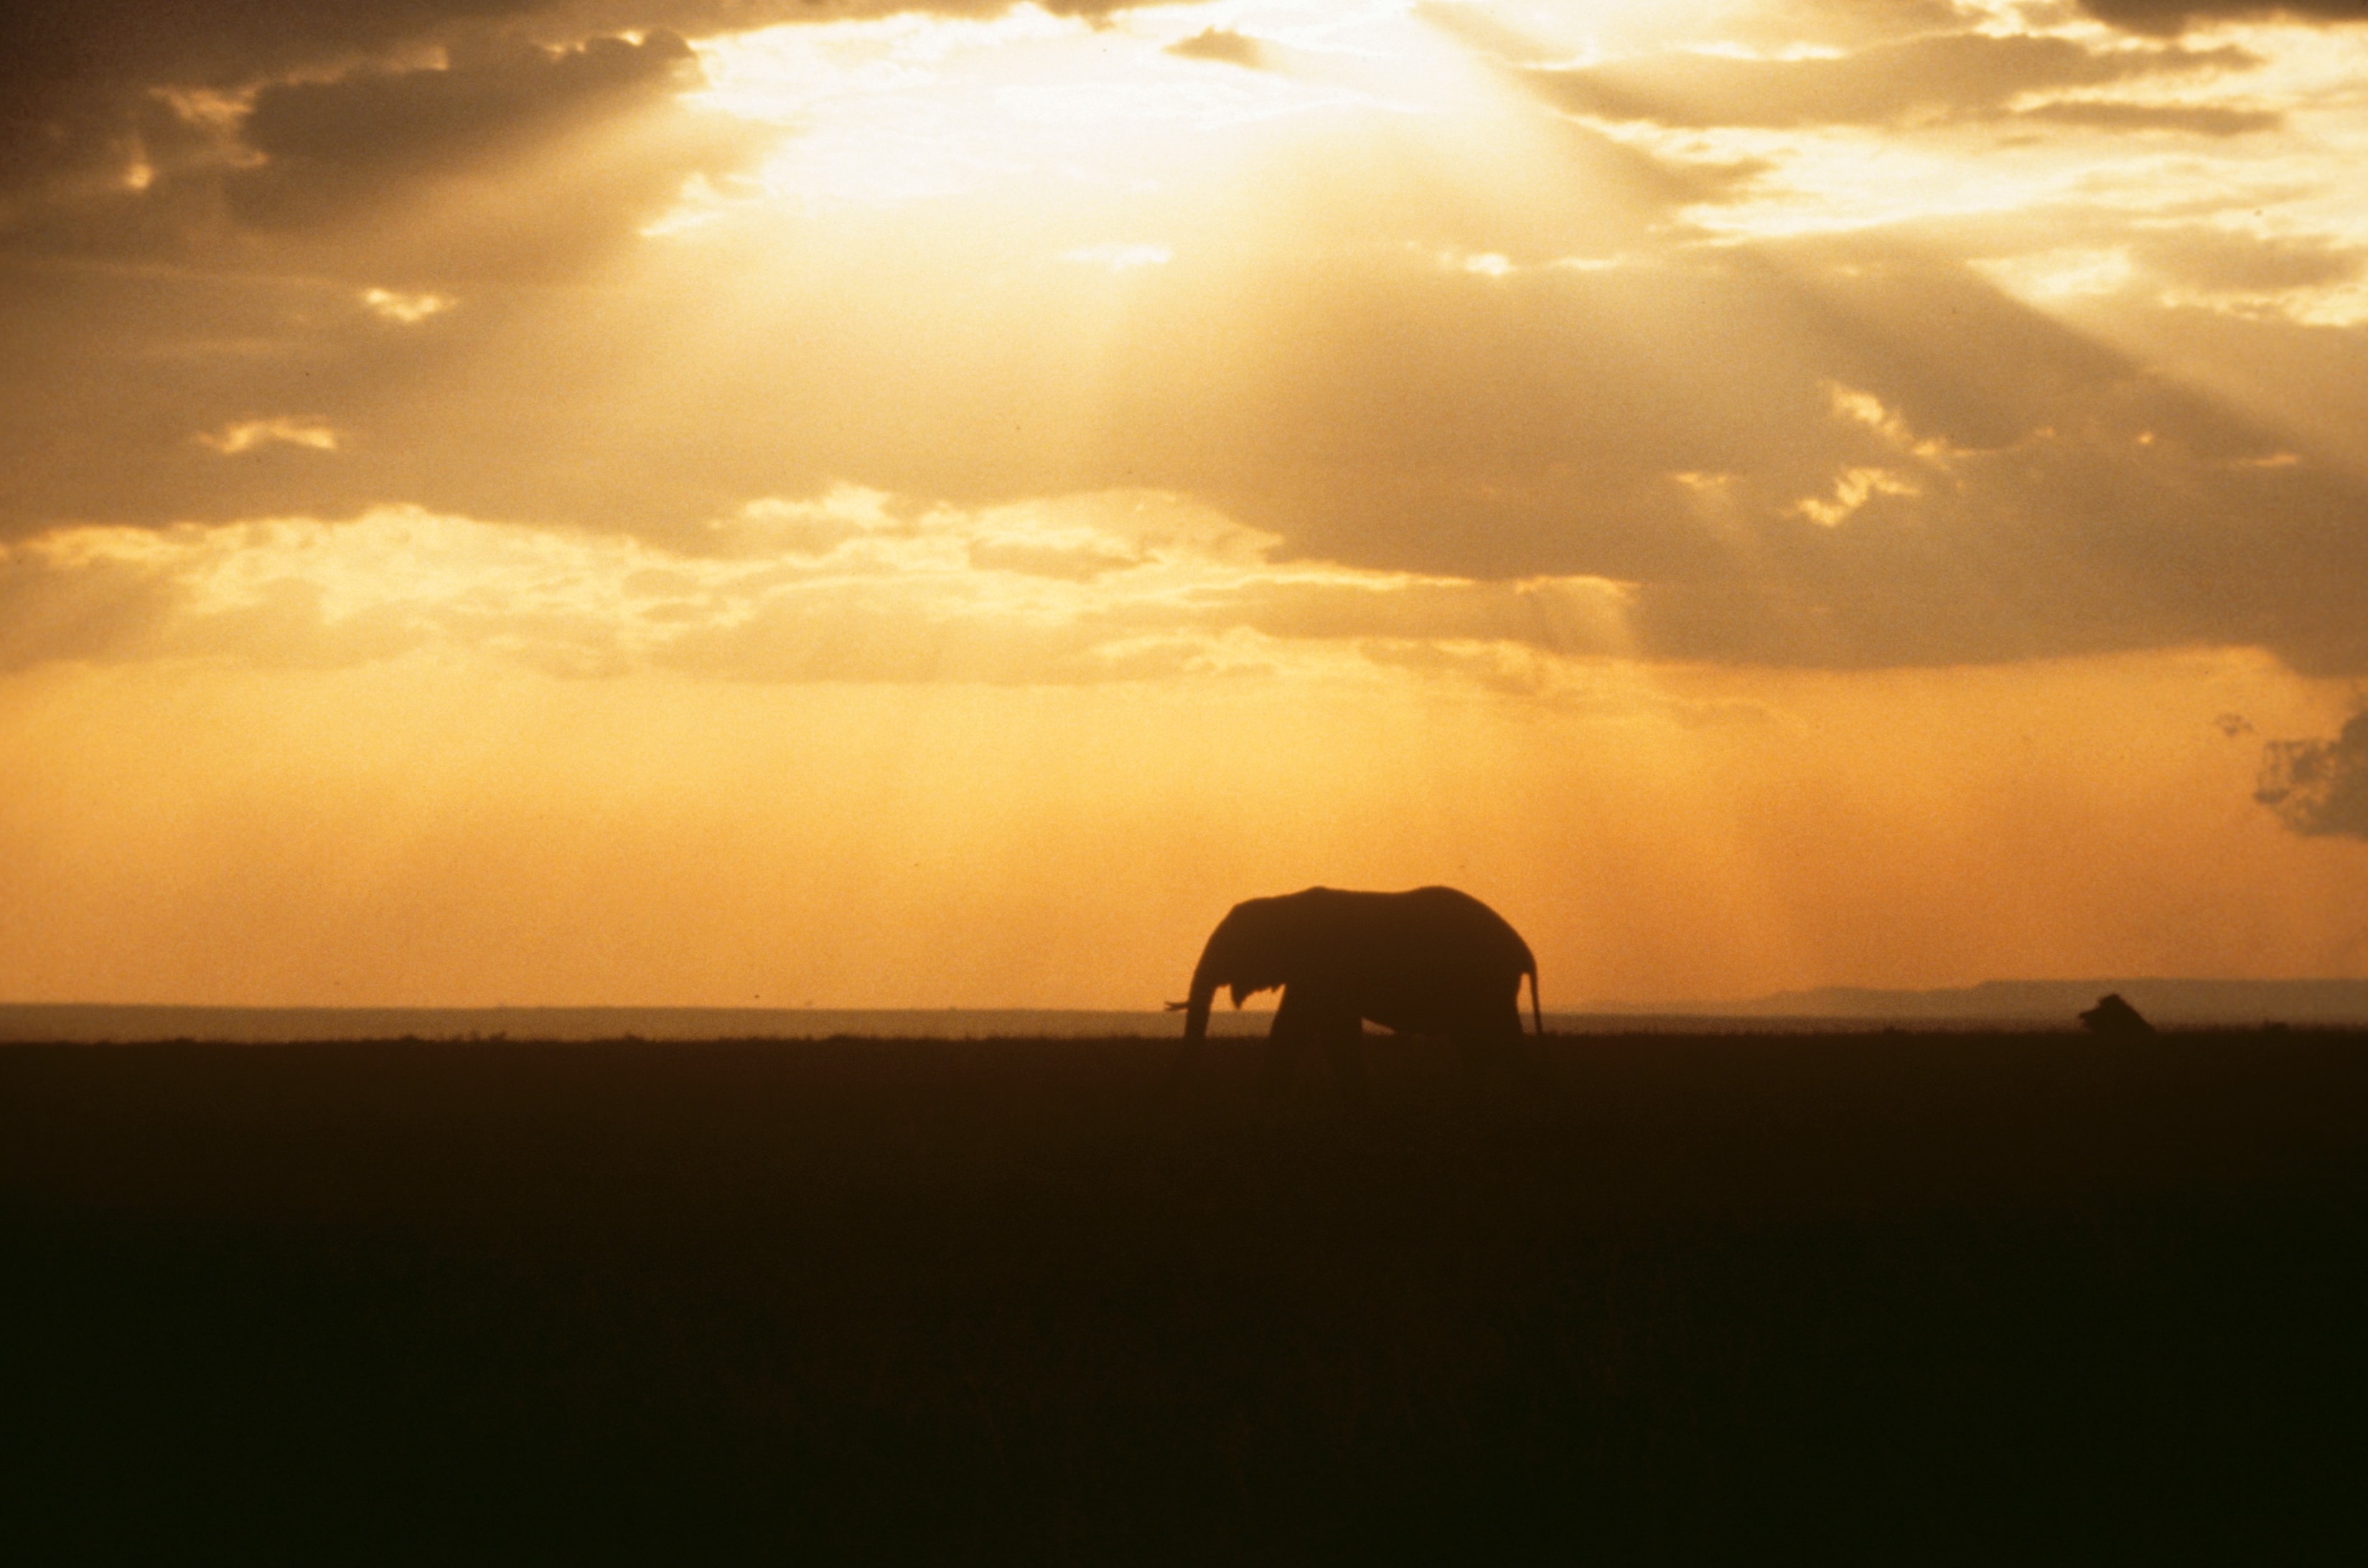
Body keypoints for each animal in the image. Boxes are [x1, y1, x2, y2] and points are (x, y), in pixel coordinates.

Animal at [1167, 886, 1543, 1091]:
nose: (1177, 1090)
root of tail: (1525, 953)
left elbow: (1302, 1028)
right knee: (1476, 1043)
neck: (1283, 903)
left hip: (1485, 984)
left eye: (1231, 947)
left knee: (1495, 1039)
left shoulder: (1323, 969)